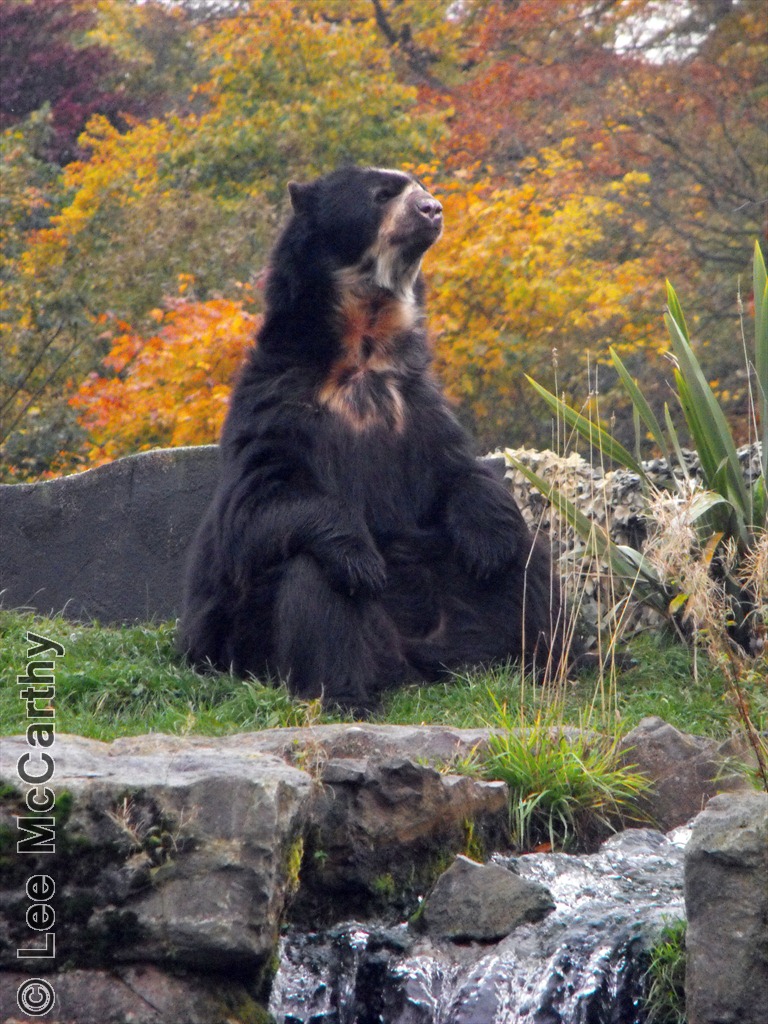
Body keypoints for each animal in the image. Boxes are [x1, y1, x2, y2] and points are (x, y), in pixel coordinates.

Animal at [179, 165, 563, 713]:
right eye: (383, 194)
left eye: (420, 187)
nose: (433, 209)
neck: (364, 347)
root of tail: (416, 666)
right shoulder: (277, 399)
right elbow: (261, 495)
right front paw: (361, 557)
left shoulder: (417, 403)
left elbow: (460, 474)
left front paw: (486, 544)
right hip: (251, 639)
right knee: (315, 580)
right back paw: (348, 692)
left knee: (529, 564)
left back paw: (558, 662)